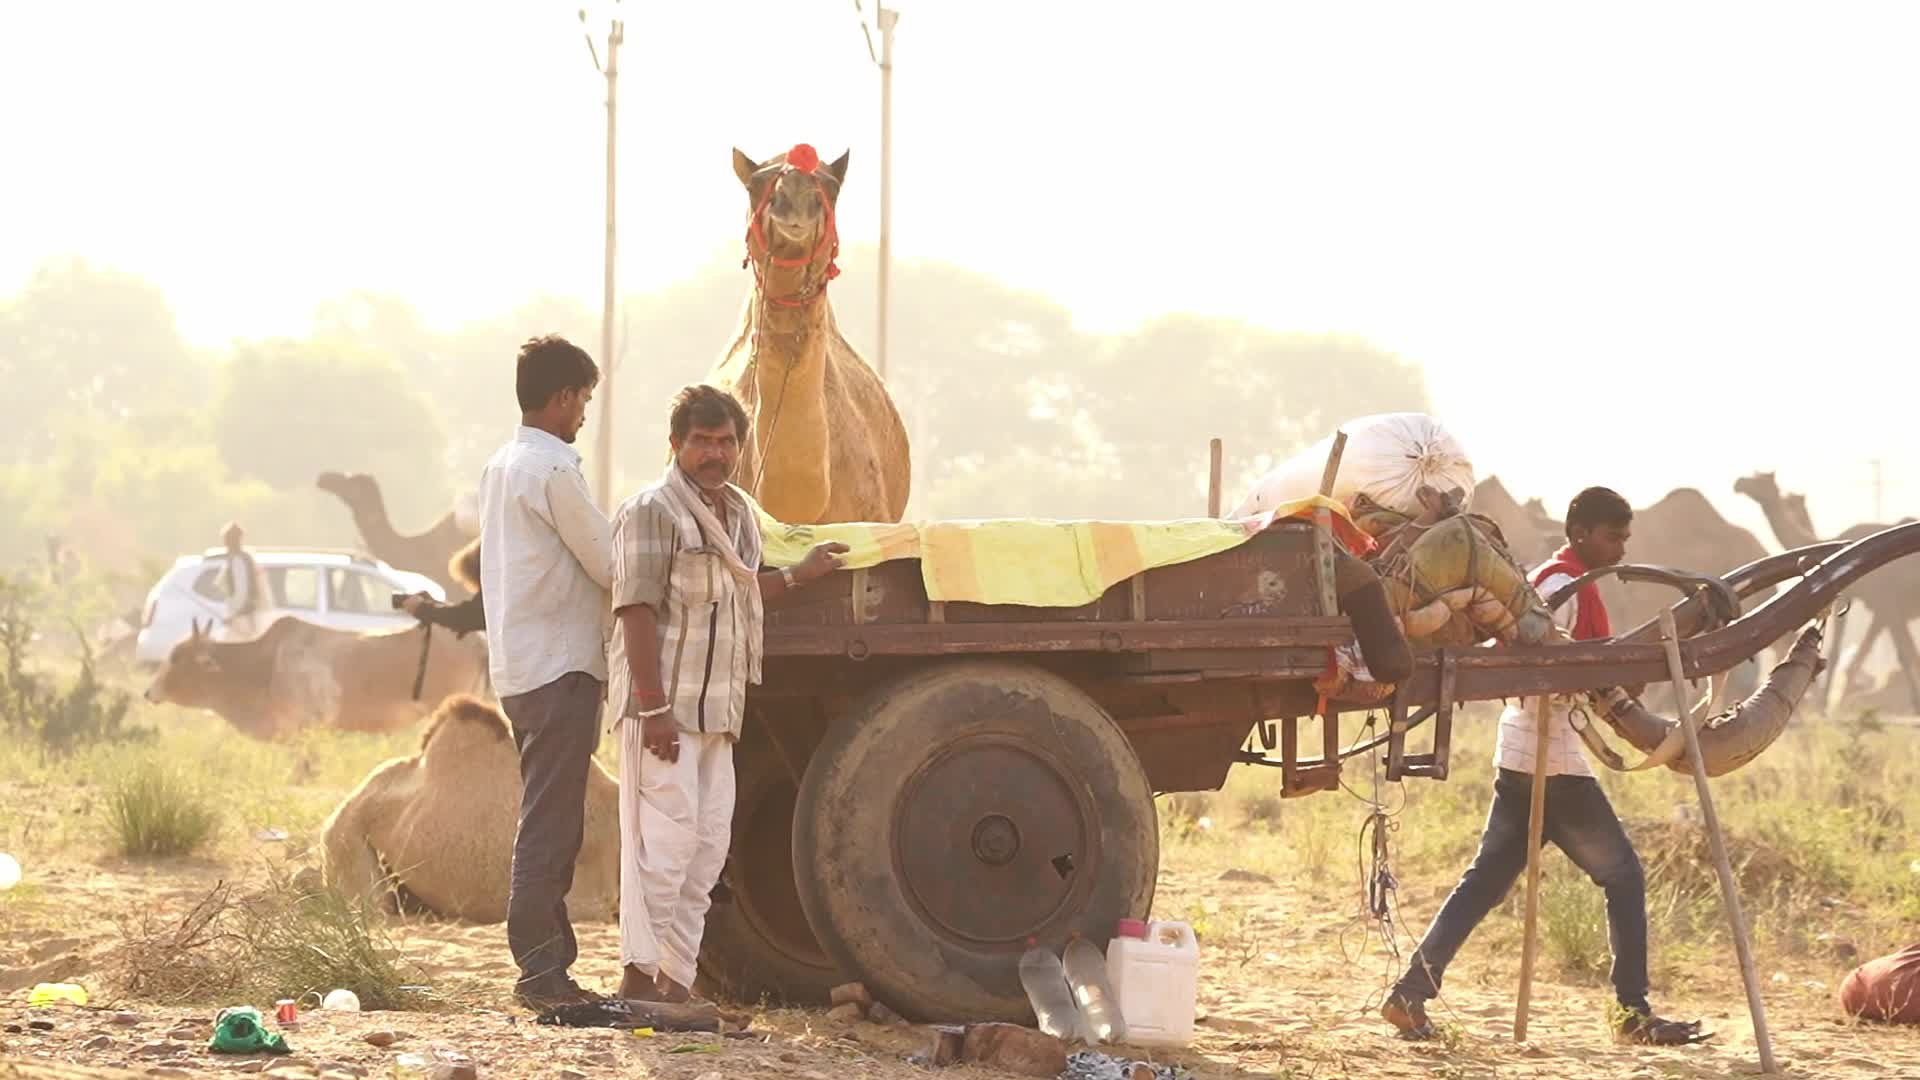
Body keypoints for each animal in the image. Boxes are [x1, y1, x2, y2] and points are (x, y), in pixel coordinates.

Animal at [1735, 470, 1920, 711]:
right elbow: (1853, 651)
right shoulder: (1871, 603)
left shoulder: (1884, 601)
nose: (1738, 483)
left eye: (1760, 479)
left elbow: (1902, 652)